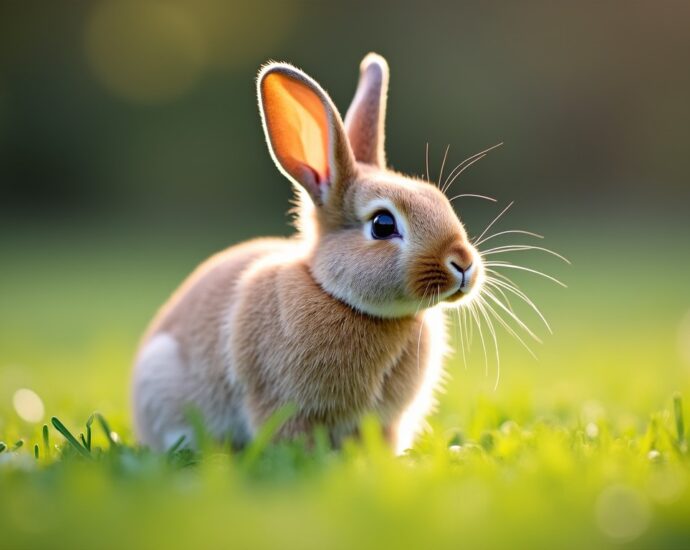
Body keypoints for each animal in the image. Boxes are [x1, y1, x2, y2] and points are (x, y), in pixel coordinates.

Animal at [132, 53, 483, 454]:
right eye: (382, 224)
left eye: (438, 199)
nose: (463, 264)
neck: (337, 296)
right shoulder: (280, 403)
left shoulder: (385, 422)